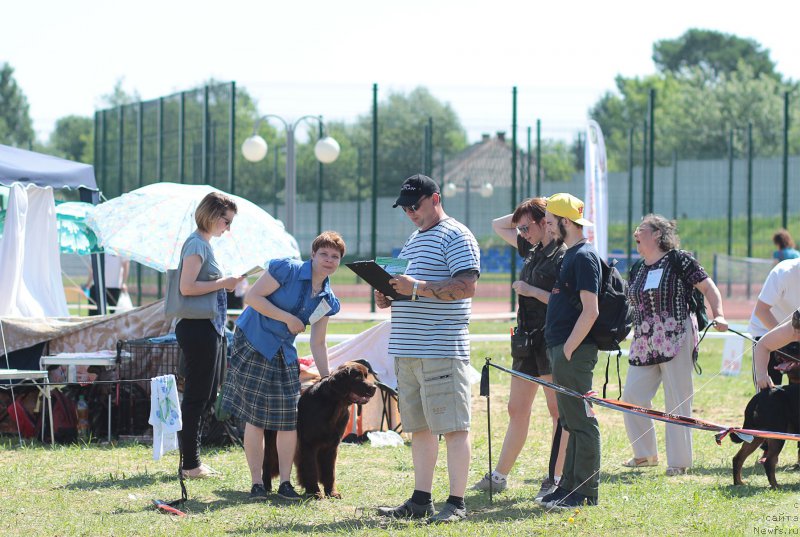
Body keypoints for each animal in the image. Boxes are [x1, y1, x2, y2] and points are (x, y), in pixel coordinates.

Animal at [260, 360, 376, 498]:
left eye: (366, 375)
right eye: (357, 377)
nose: (374, 387)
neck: (335, 407)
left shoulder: (331, 446)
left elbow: (330, 472)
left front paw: (332, 492)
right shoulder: (308, 445)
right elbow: (311, 470)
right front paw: (314, 492)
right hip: (271, 440)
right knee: (267, 462)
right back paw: (266, 486)